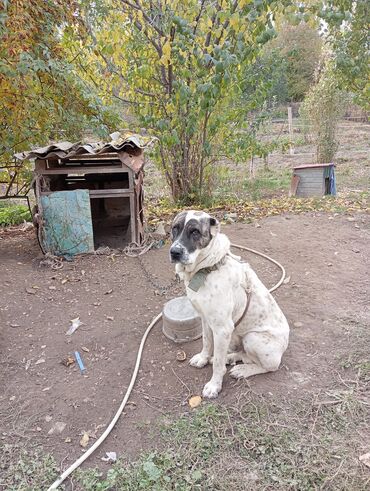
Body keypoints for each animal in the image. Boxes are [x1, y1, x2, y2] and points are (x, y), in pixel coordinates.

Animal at [170, 211, 290, 400]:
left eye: (195, 232)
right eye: (175, 228)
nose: (174, 252)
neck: (207, 269)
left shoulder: (222, 328)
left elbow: (217, 365)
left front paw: (214, 386)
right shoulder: (205, 319)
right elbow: (206, 342)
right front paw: (204, 358)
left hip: (253, 338)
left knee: (269, 366)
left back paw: (242, 370)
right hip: (235, 338)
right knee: (244, 355)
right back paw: (232, 358)